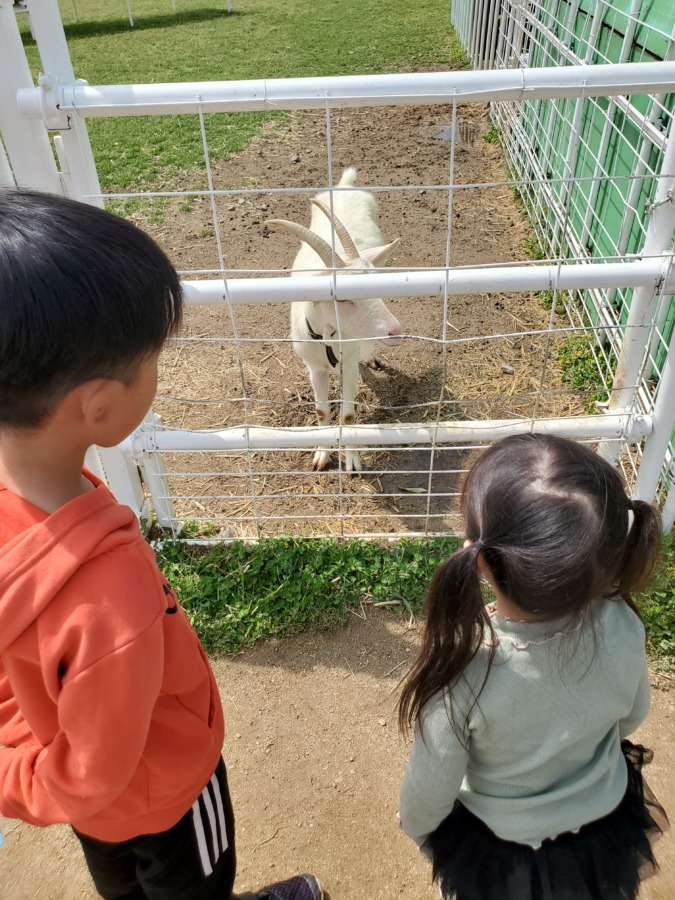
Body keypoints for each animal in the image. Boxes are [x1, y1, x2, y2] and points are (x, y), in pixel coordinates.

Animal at [268, 167, 402, 472]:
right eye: (341, 299)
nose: (395, 331)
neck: (328, 340)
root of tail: (344, 185)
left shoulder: (348, 366)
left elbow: (349, 415)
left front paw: (352, 462)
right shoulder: (313, 368)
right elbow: (321, 411)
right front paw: (321, 456)